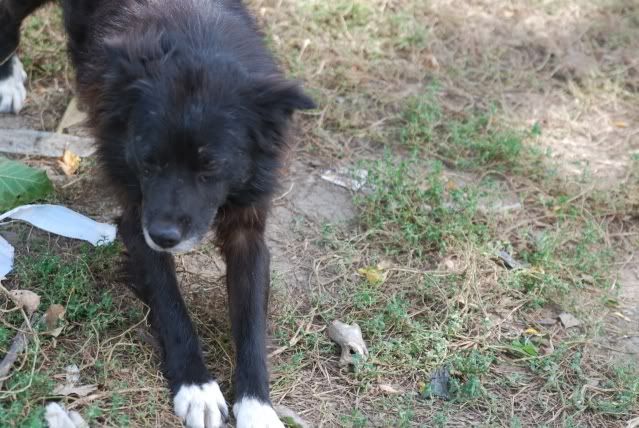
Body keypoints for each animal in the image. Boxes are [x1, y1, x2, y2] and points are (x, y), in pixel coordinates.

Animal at [0, 0, 316, 428]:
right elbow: (170, 304)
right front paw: (196, 388)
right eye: (149, 161)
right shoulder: (138, 221)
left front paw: (257, 409)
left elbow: (251, 323)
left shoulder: (248, 230)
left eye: (210, 168)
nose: (166, 236)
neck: (197, 37)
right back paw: (7, 79)